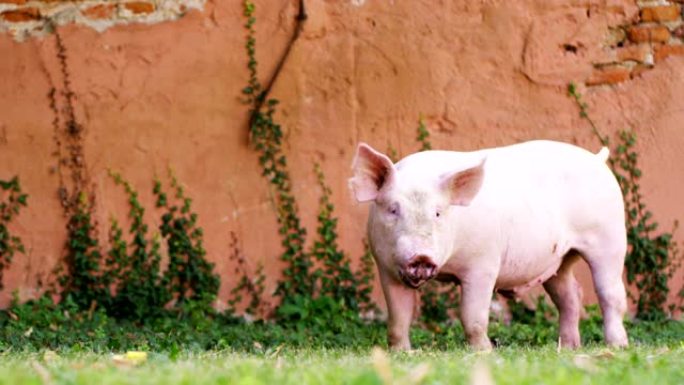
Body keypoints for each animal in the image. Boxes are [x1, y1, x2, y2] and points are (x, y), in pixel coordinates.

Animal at [352, 140, 632, 350]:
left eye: (438, 213)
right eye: (393, 210)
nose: (421, 256)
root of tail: (596, 159)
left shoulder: (483, 263)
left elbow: (472, 315)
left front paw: (484, 352)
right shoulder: (386, 268)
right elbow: (398, 317)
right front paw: (402, 353)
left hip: (610, 237)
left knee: (610, 293)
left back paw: (617, 346)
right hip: (559, 261)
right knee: (571, 295)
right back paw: (569, 348)